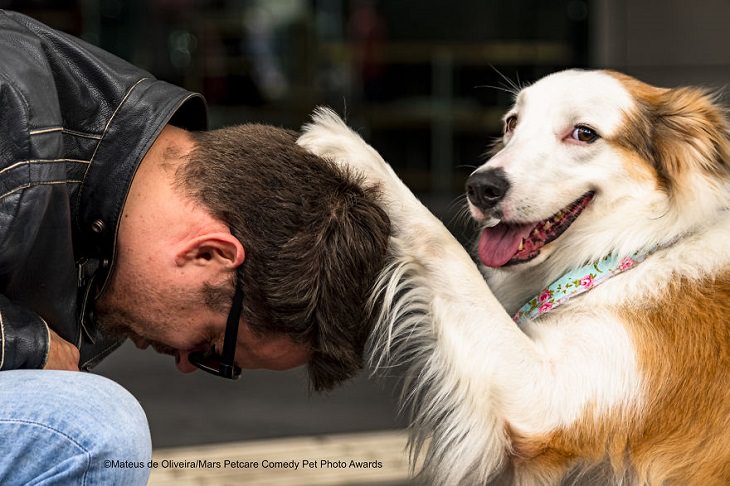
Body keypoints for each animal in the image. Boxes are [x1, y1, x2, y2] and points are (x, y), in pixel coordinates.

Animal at [296, 68, 728, 486]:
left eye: (584, 133)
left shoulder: (545, 398)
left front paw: (355, 152)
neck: (635, 249)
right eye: (512, 123)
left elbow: (442, 243)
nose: (480, 187)